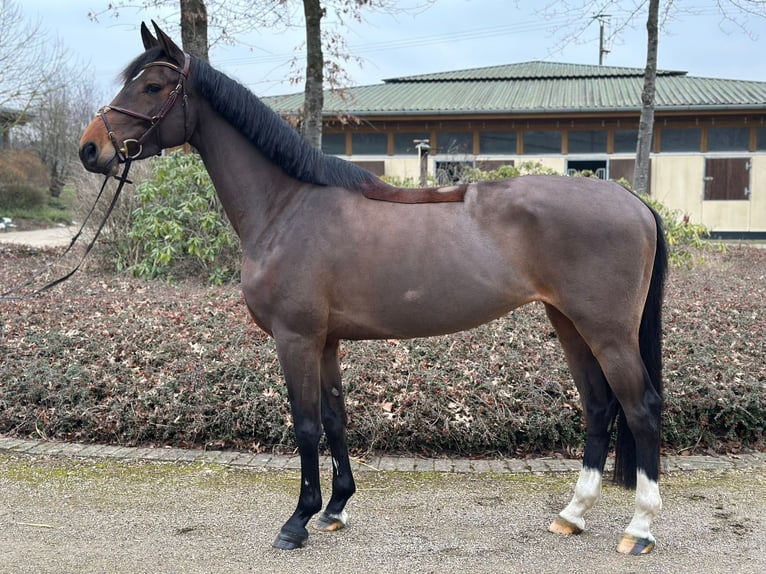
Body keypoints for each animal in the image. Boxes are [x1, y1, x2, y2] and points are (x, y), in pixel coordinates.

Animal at [79, 22, 667, 555]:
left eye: (154, 86)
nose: (91, 149)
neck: (287, 206)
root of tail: (632, 201)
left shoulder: (295, 339)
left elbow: (306, 425)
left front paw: (297, 521)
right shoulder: (326, 341)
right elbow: (335, 419)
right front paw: (335, 509)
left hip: (607, 331)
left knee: (640, 409)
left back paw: (639, 529)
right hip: (568, 322)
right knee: (599, 406)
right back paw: (572, 514)